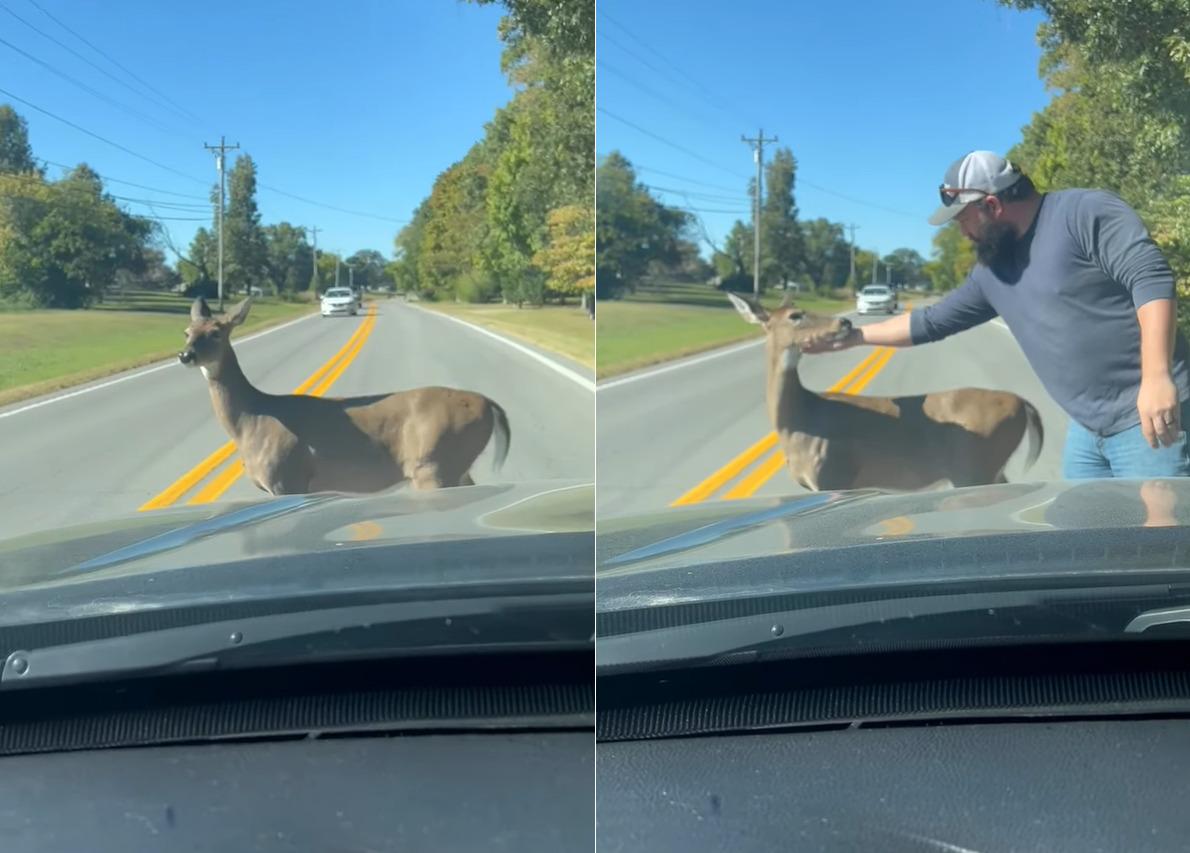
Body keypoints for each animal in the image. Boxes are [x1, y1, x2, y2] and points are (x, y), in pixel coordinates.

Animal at [178, 296, 509, 494]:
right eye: (187, 332)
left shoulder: (287, 478)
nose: (185, 355)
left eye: (215, 333)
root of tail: (488, 403)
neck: (252, 419)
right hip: (451, 466)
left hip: (435, 463)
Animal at [723, 292, 1042, 492]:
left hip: (974, 465)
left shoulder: (833, 474)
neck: (800, 421)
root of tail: (1022, 403)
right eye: (795, 315)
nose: (844, 321)